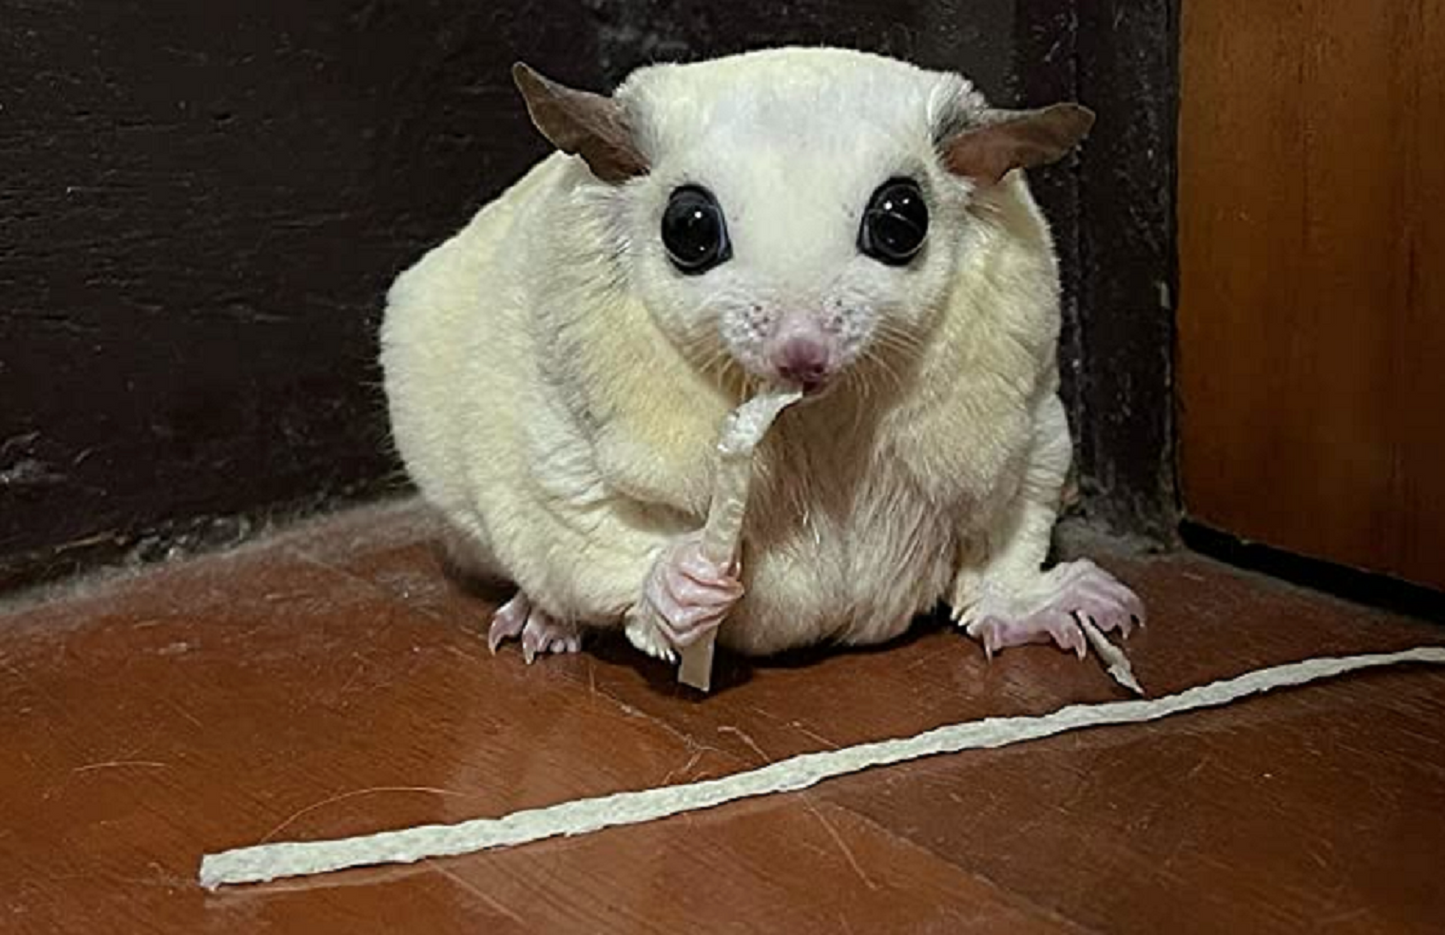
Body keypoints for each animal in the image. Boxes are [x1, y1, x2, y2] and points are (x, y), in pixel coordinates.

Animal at [379, 47, 1144, 665]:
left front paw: (1036, 604)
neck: (818, 410)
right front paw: (678, 583)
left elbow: (1007, 520)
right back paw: (543, 618)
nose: (800, 353)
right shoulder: (561, 411)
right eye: (689, 229)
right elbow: (577, 504)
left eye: (900, 220)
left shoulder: (1024, 417)